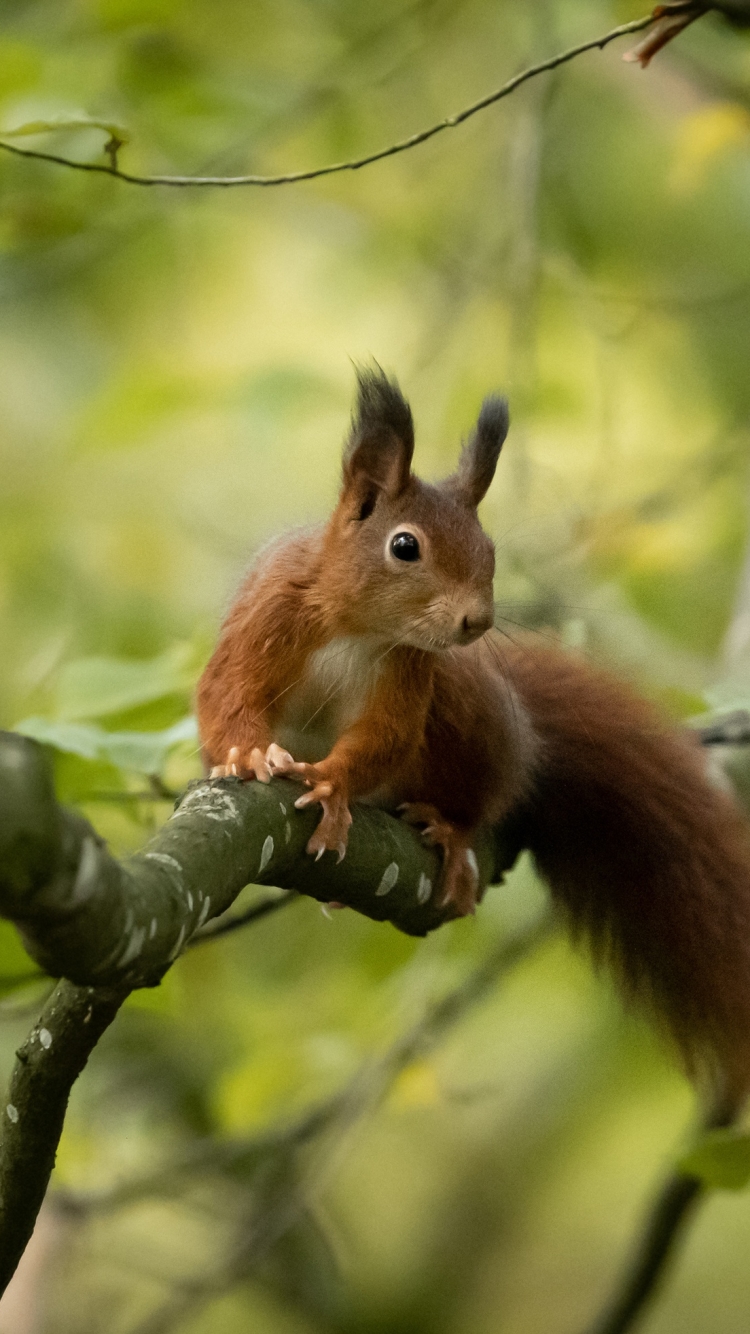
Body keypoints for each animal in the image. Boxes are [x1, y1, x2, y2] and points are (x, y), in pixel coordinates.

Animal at [197, 362, 750, 1093]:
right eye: (405, 546)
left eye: (489, 549)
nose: (477, 621)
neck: (359, 626)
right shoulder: (266, 619)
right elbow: (225, 696)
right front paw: (245, 755)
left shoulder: (412, 674)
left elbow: (385, 740)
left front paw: (334, 786)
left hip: (469, 715)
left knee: (481, 793)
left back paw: (453, 831)